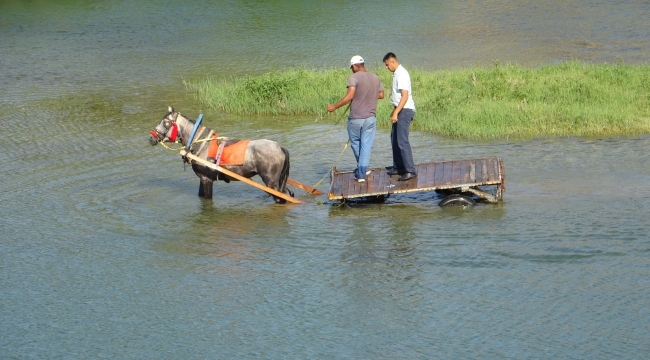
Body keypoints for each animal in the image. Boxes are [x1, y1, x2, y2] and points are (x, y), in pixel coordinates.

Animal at [148, 106, 292, 202]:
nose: (151, 138)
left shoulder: (206, 179)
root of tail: (281, 147)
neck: (200, 143)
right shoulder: (202, 179)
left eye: (166, 122)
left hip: (271, 182)